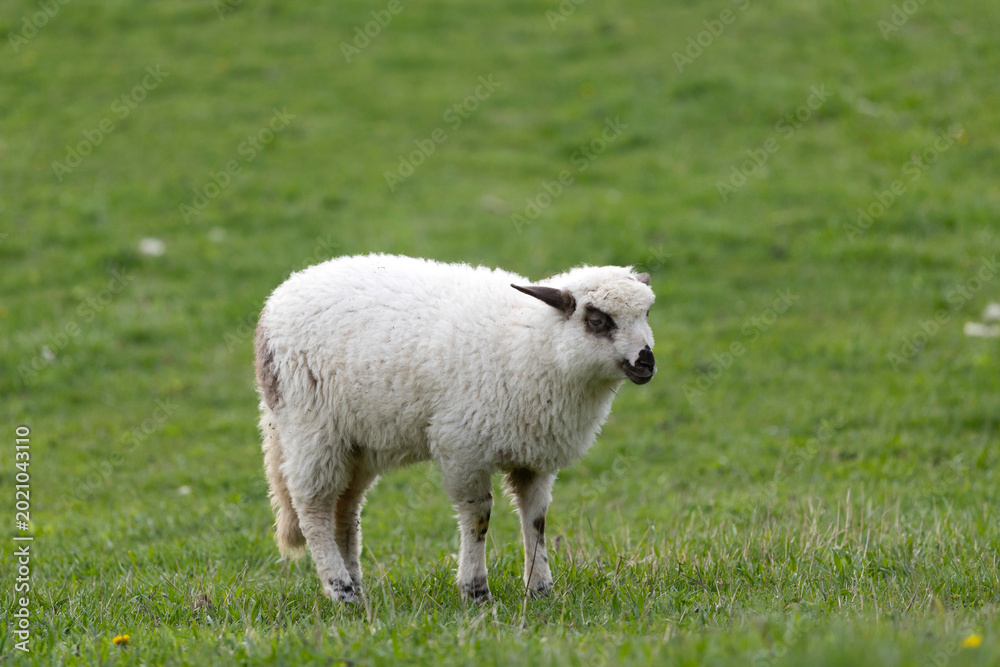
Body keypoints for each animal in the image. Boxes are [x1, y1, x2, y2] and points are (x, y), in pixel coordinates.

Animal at [254, 253, 656, 603]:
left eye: (647, 313)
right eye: (598, 320)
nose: (646, 362)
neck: (535, 344)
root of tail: (279, 297)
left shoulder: (535, 456)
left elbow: (536, 519)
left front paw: (540, 590)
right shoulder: (463, 448)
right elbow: (479, 518)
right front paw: (476, 592)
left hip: (357, 444)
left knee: (345, 511)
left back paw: (357, 587)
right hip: (312, 428)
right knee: (313, 508)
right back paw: (342, 592)